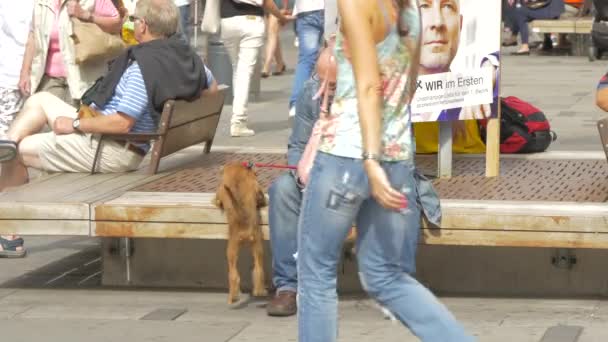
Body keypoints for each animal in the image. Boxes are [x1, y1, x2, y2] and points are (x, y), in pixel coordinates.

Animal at [216, 162, 268, 304]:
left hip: (231, 251)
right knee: (258, 270)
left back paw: (232, 298)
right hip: (258, 247)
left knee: (234, 275)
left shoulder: (220, 190)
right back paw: (259, 291)